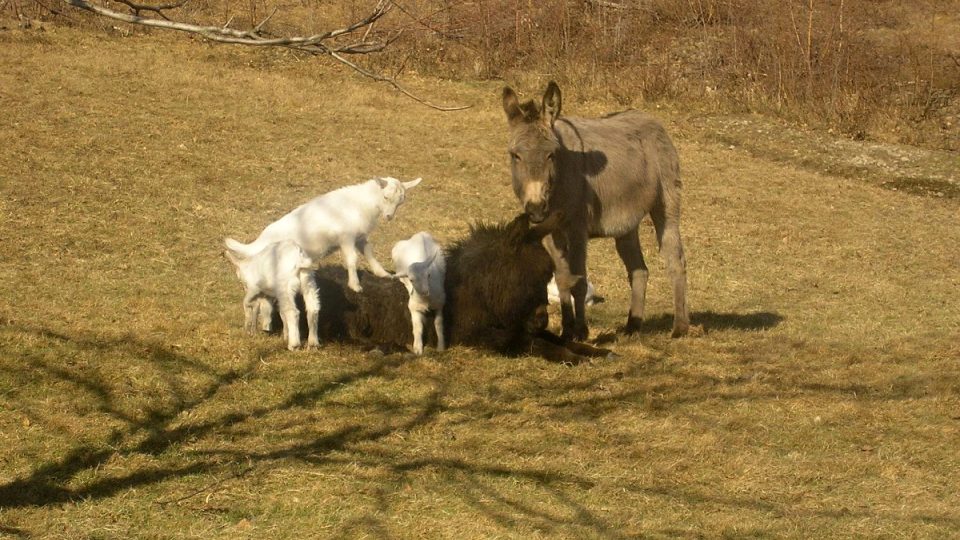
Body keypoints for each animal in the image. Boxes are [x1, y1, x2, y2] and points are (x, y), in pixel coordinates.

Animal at [227, 178, 422, 294]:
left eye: (401, 201)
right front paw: (355, 285)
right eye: (386, 196)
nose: (389, 216)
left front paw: (382, 273)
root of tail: (259, 241)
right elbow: (352, 259)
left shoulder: (359, 237)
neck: (362, 203)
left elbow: (369, 252)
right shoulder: (346, 237)